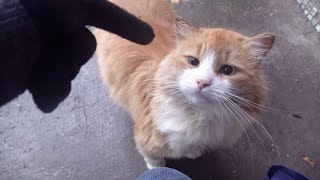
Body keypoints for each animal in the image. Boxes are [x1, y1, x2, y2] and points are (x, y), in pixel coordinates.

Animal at [94, 0, 274, 169]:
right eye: (193, 61)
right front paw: (156, 168)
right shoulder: (147, 137)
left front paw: (193, 152)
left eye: (228, 70)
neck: (198, 116)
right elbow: (153, 157)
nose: (202, 82)